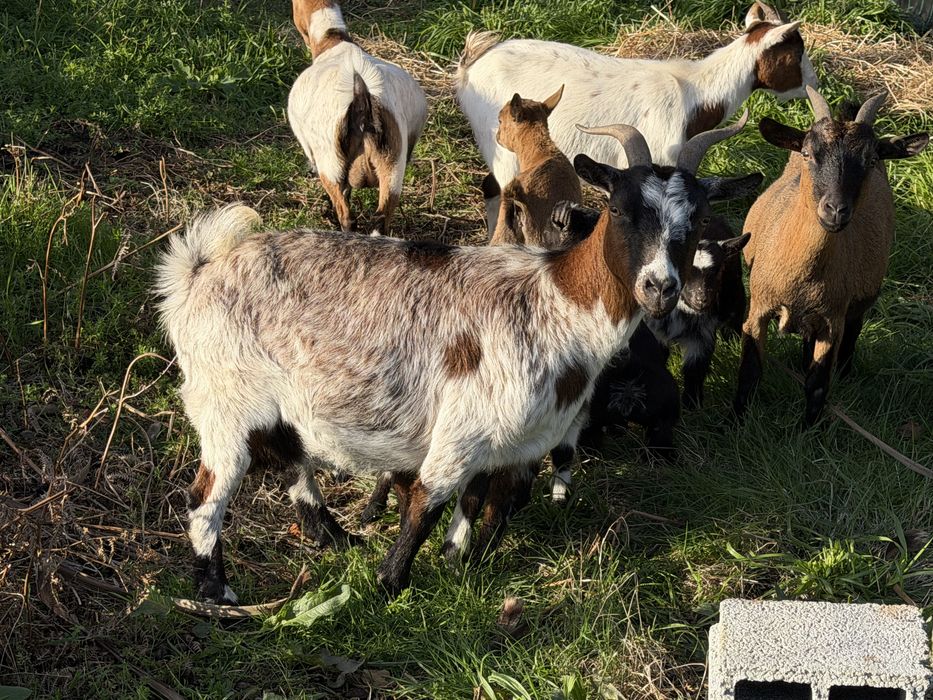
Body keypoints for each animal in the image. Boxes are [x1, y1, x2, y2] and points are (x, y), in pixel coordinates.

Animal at [156, 118, 757, 601]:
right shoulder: (462, 425)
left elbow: (493, 504)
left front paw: (462, 564)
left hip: (277, 407)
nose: (659, 287)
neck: (557, 300)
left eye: (696, 221)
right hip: (226, 403)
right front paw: (389, 587)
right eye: (619, 208)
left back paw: (337, 537)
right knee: (204, 496)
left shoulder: (523, 444)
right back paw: (216, 590)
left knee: (293, 465)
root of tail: (197, 274)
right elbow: (429, 500)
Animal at [288, 0, 428, 235]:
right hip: (392, 166)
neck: (334, 40)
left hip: (331, 163)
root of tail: (361, 98)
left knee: (347, 216)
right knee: (380, 219)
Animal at [733, 87, 929, 427]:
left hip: (859, 302)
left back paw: (845, 373)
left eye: (871, 158)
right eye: (808, 153)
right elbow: (751, 370)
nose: (835, 210)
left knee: (851, 334)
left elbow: (818, 383)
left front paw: (807, 430)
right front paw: (737, 421)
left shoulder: (832, 320)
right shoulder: (758, 307)